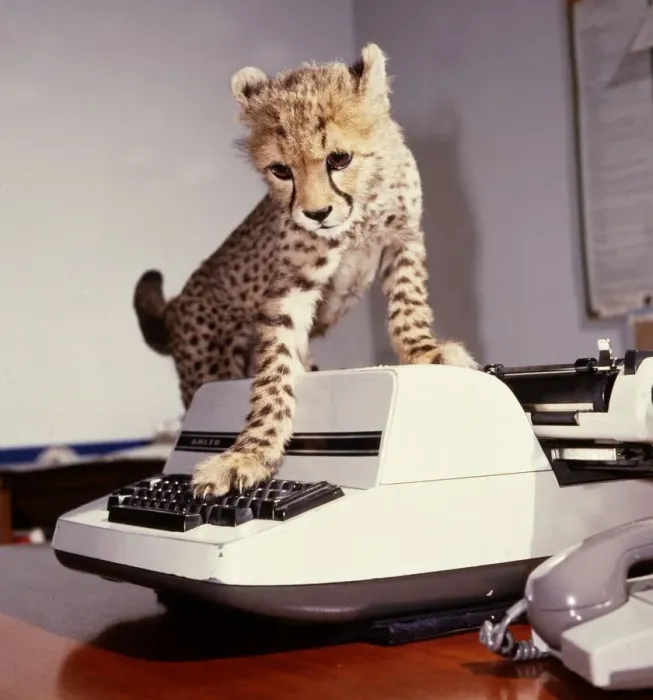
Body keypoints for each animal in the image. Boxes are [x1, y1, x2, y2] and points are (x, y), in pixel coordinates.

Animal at [133, 43, 480, 498]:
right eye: (281, 170)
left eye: (339, 158)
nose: (316, 214)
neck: (361, 213)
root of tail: (176, 304)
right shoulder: (291, 288)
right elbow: (274, 375)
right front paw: (249, 454)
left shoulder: (404, 239)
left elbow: (408, 306)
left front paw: (425, 351)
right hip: (206, 368)